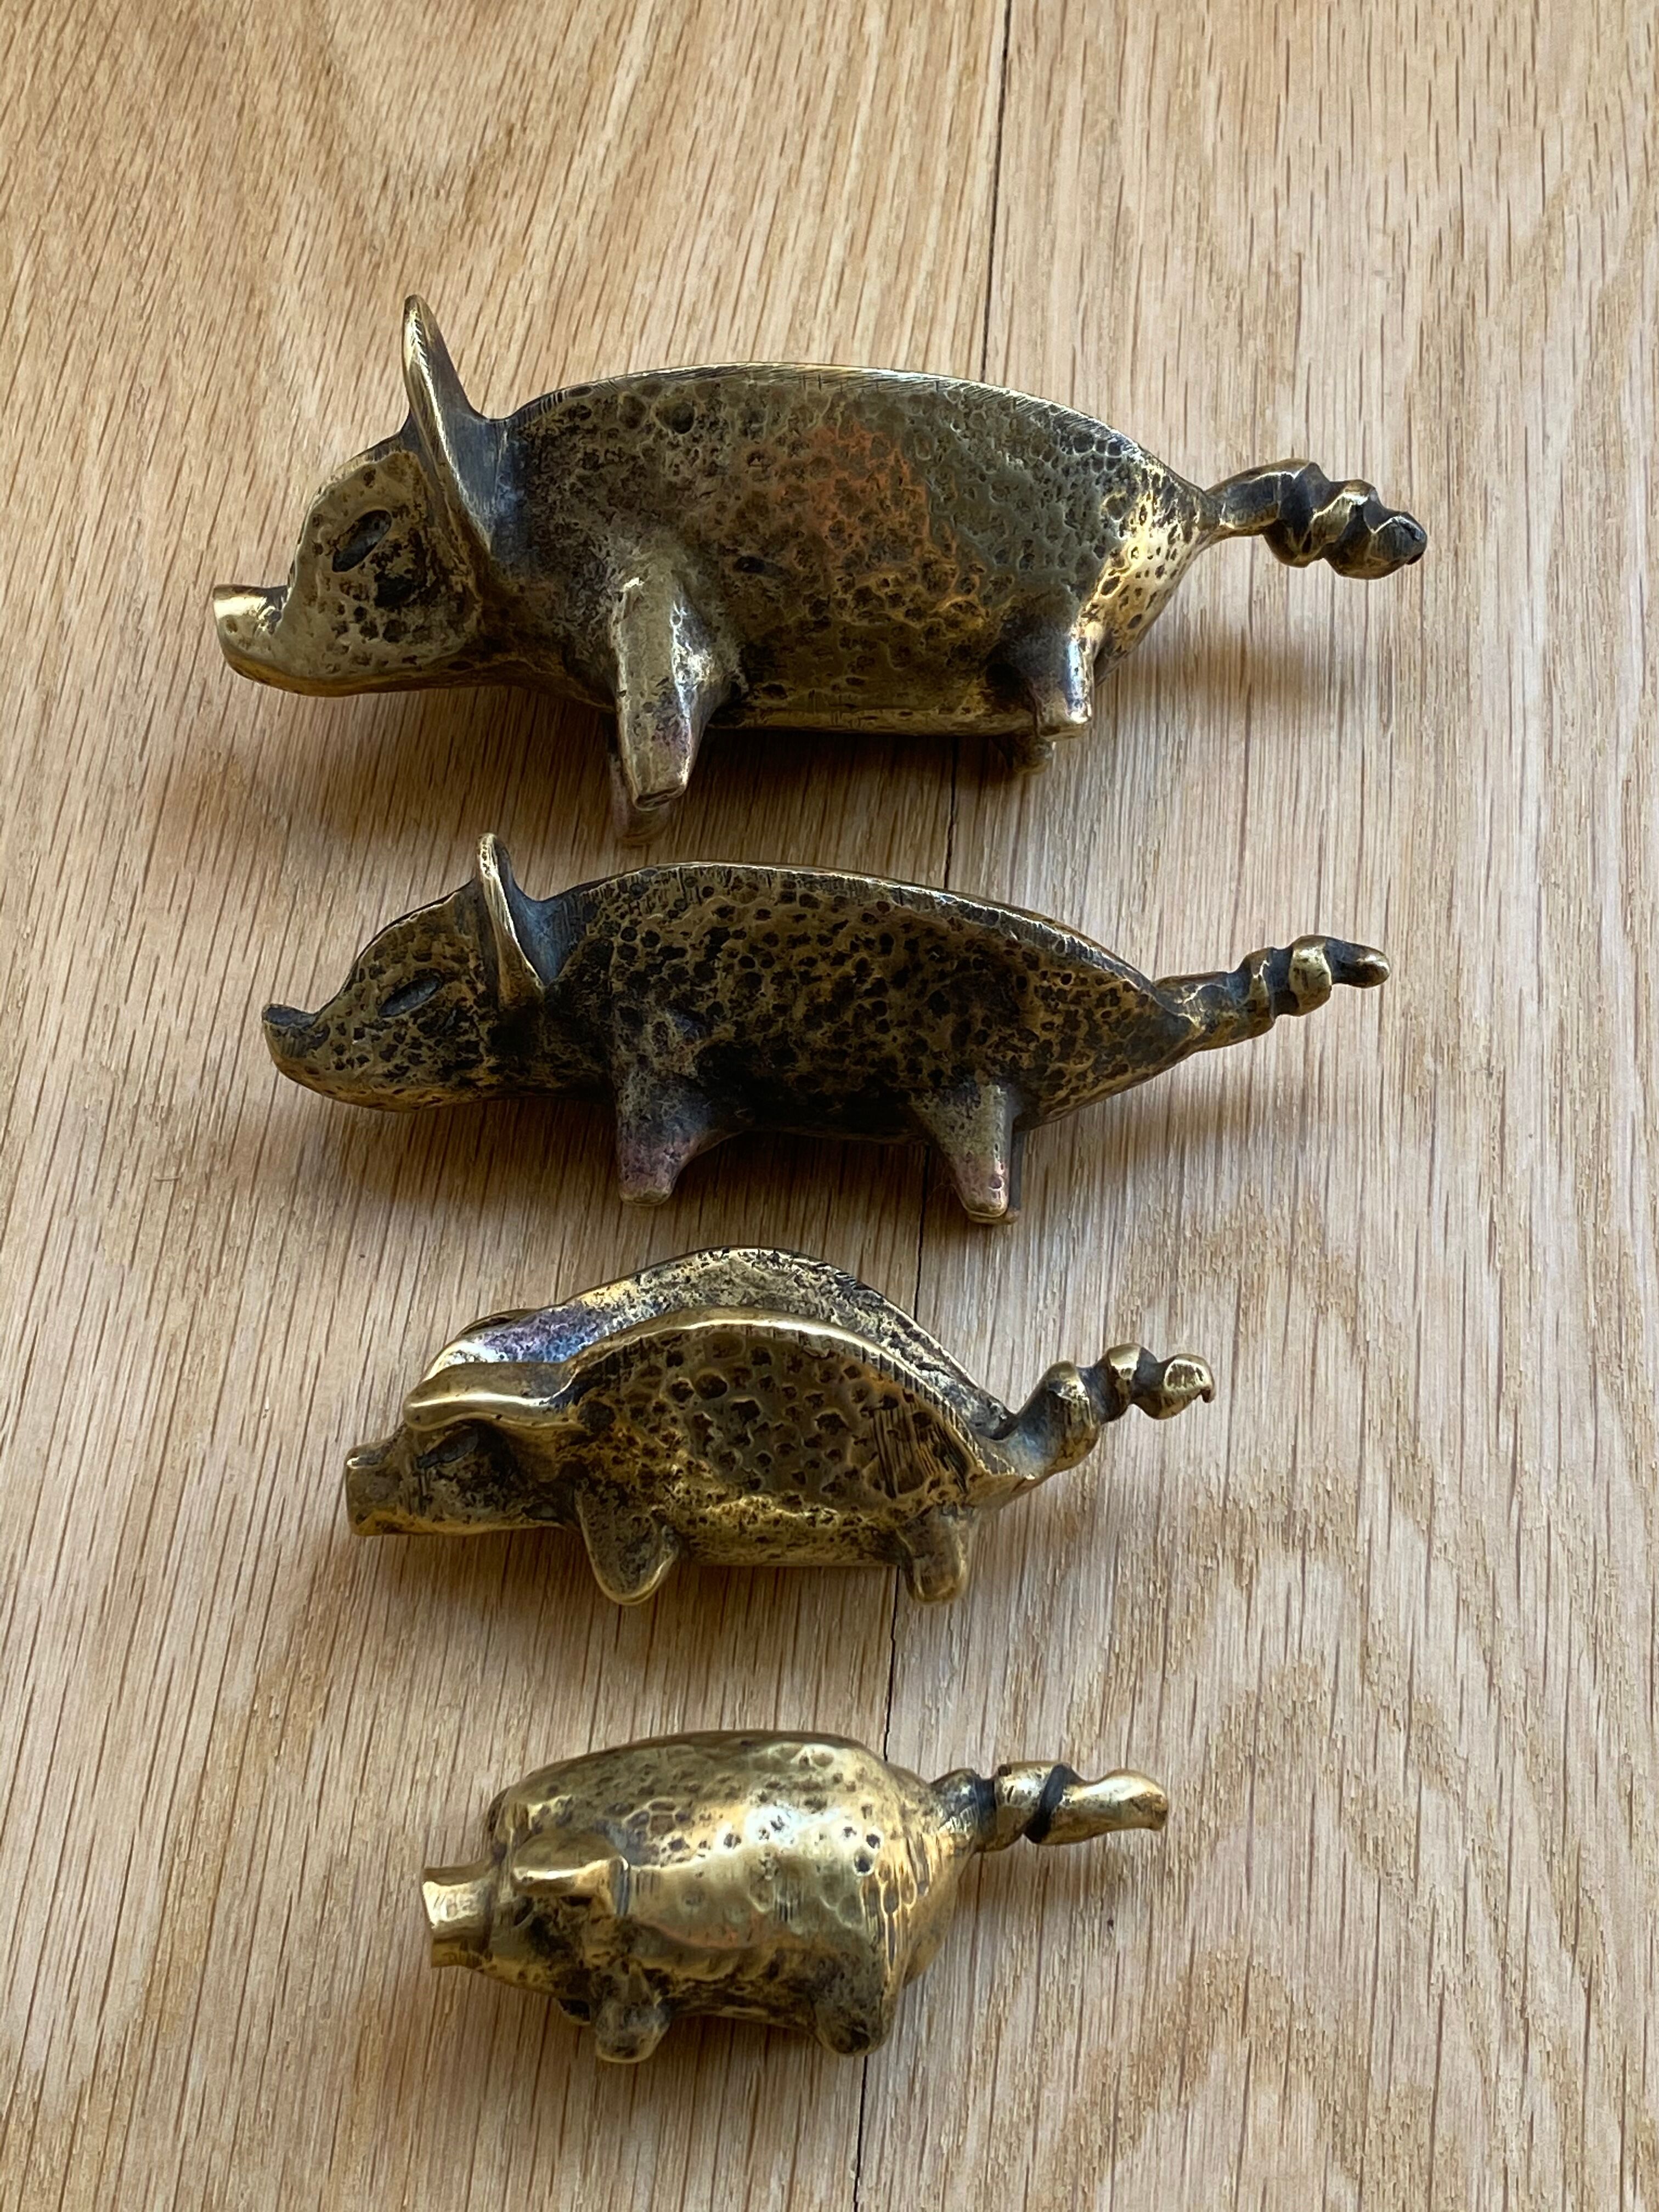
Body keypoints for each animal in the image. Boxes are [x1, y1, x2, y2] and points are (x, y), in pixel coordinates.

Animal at [214, 297, 1426, 834]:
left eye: (363, 547)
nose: (227, 607)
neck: (521, 527)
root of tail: (1197, 502)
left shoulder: (653, 610)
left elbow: (665, 736)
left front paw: (631, 813)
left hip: (1060, 631)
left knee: (1065, 715)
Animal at [265, 836, 1391, 1222]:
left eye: (412, 995)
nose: (281, 1028)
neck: (567, 967)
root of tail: (1164, 1008)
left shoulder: (654, 1062)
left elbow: (649, 1151)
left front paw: (640, 1202)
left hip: (972, 1100)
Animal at [422, 1729, 1168, 2059]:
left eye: (522, 1908)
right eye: (492, 1848)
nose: (432, 1903)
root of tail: (942, 1823)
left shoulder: (641, 1985)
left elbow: (629, 2034)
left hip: (860, 1984)